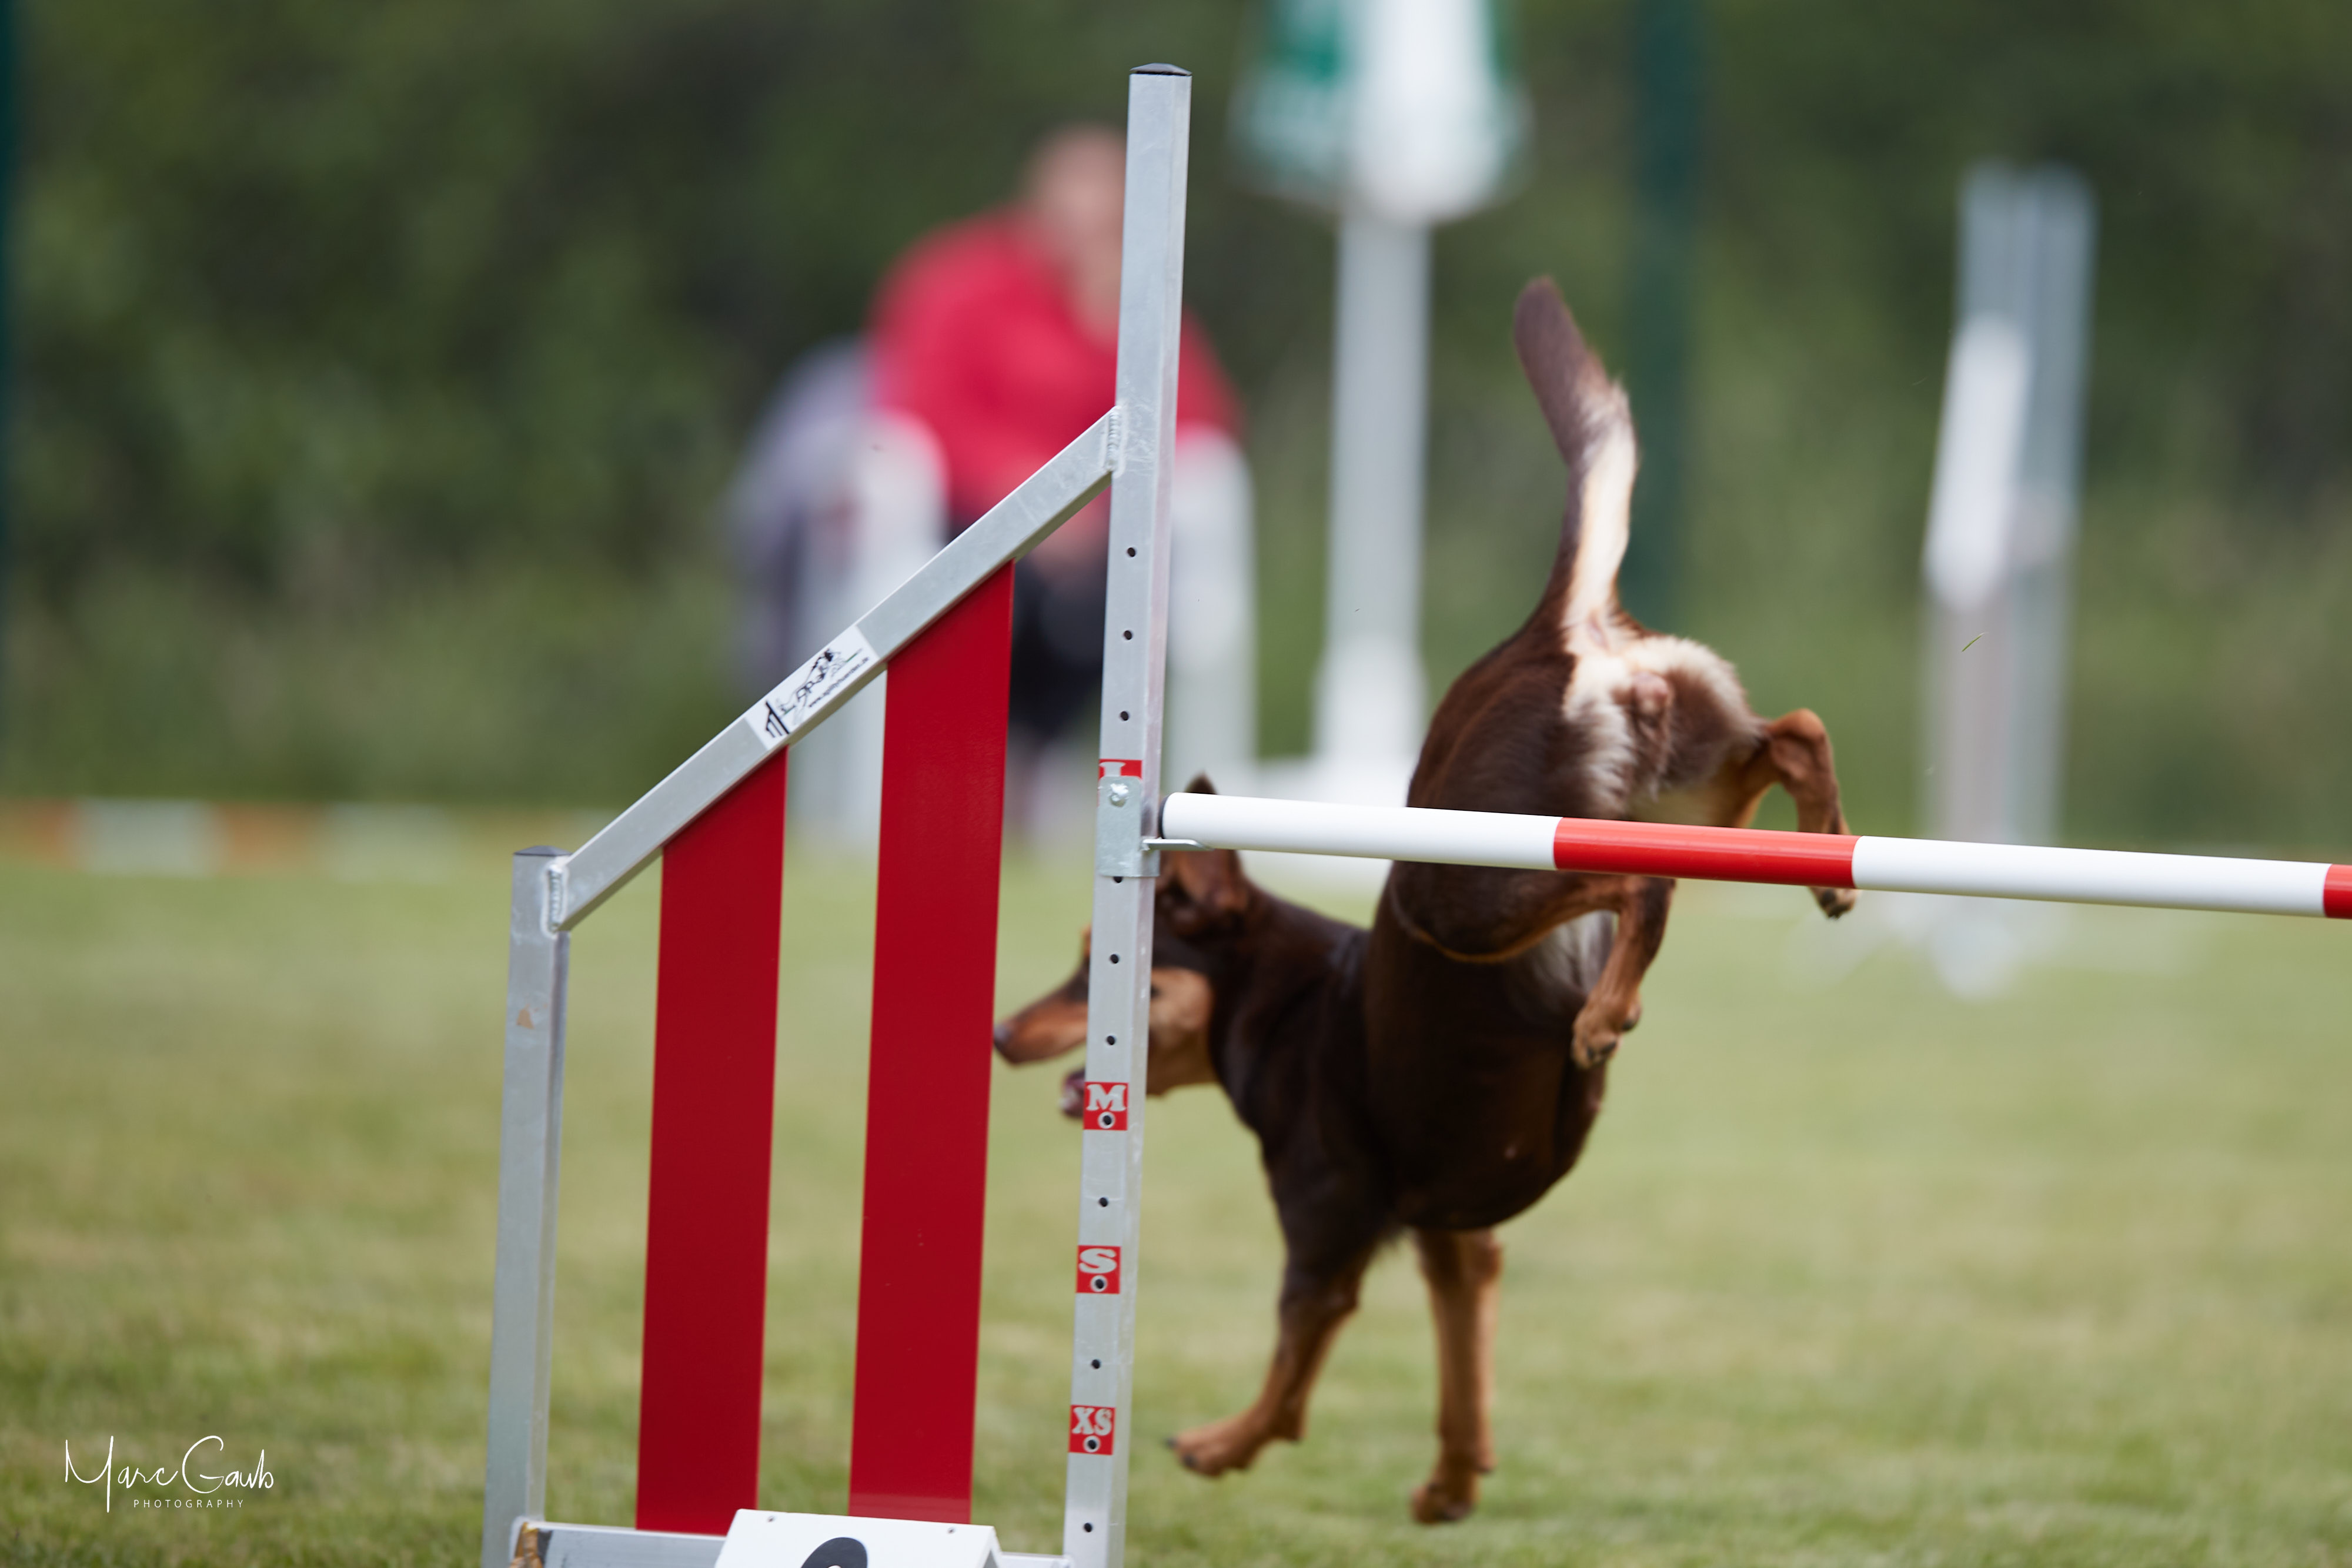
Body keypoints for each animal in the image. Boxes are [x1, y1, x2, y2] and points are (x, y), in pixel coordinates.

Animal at [996, 279, 1855, 1523]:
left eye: (1091, 961)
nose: (1001, 1031)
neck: (1293, 1006)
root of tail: (1552, 635)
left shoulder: (1327, 1229)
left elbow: (1290, 1376)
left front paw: (1218, 1445)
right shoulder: (1457, 1236)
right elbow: (1464, 1369)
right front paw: (1452, 1483)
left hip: (1465, 891)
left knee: (1641, 881)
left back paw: (1609, 1010)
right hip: (1697, 780)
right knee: (1793, 734)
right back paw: (1828, 845)